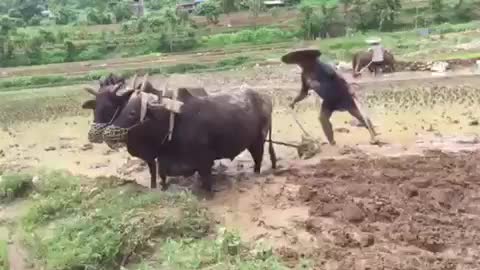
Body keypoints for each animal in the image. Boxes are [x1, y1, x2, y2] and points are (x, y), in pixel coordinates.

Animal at [101, 84, 278, 192]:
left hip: (258, 142)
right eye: (123, 109)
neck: (173, 122)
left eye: (132, 113)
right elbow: (162, 178)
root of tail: (265, 98)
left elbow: (207, 183)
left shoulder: (204, 162)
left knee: (258, 161)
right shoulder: (163, 163)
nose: (107, 133)